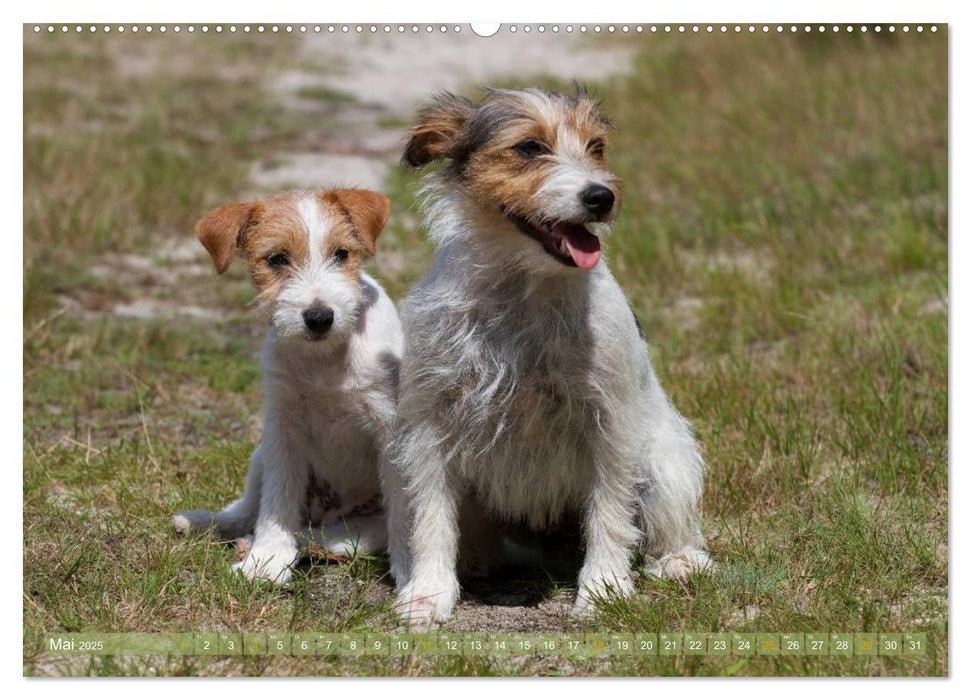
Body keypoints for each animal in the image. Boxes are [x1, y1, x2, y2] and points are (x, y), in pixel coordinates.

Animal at [172, 187, 402, 584]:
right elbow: (276, 504)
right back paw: (208, 522)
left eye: (341, 254)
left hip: (362, 526)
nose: (320, 317)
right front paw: (266, 560)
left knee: (334, 537)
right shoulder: (284, 428)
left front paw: (267, 559)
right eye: (278, 259)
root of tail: (326, 510)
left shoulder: (386, 424)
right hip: (261, 455)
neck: (324, 361)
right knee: (248, 508)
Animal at [388, 89, 712, 628]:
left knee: (669, 524)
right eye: (530, 147)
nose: (601, 196)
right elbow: (432, 518)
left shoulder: (610, 423)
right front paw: (429, 595)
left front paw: (603, 589)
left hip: (666, 462)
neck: (525, 287)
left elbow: (609, 514)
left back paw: (680, 560)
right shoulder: (431, 423)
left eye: (596, 147)